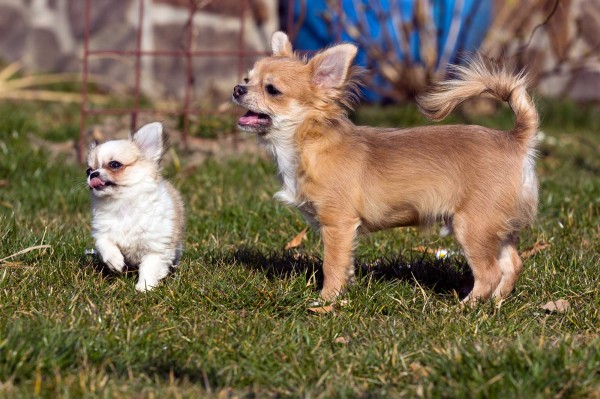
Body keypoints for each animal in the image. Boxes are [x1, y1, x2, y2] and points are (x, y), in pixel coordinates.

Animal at [86, 122, 184, 290]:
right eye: (88, 170)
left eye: (114, 164)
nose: (93, 174)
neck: (122, 206)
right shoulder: (102, 232)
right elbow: (105, 244)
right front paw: (114, 261)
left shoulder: (156, 247)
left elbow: (149, 266)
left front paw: (144, 288)